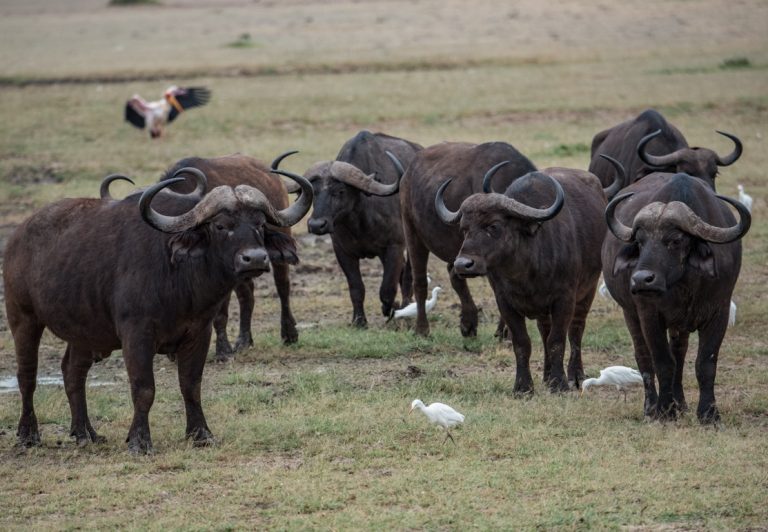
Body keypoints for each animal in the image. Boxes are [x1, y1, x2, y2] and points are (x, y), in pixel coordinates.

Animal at [4, 169, 312, 452]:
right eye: (221, 226)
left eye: (260, 224)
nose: (255, 259)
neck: (179, 277)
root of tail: (18, 236)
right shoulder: (136, 335)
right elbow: (144, 389)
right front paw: (139, 441)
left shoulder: (199, 333)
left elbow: (191, 384)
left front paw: (201, 433)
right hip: (22, 318)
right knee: (27, 377)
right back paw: (28, 434)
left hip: (83, 332)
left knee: (72, 372)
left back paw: (85, 433)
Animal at [274, 131, 422, 327]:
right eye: (313, 192)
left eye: (340, 191)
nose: (316, 225)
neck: (360, 223)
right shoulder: (343, 252)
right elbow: (356, 287)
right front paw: (359, 321)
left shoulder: (394, 247)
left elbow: (387, 288)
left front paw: (391, 310)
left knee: (408, 274)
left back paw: (406, 305)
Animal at [436, 165, 610, 392]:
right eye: (464, 228)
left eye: (493, 226)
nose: (462, 264)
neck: (524, 273)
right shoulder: (504, 302)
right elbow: (522, 343)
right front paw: (523, 386)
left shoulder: (564, 298)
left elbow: (557, 340)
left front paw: (559, 383)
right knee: (544, 331)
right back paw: (546, 375)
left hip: (588, 289)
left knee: (576, 330)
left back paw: (575, 375)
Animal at [602, 172, 750, 422]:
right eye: (640, 242)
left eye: (675, 240)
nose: (641, 280)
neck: (685, 285)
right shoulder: (649, 315)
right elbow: (663, 362)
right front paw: (664, 411)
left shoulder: (719, 312)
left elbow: (705, 363)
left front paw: (708, 413)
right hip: (630, 313)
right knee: (644, 357)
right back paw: (652, 407)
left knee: (679, 355)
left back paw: (680, 403)